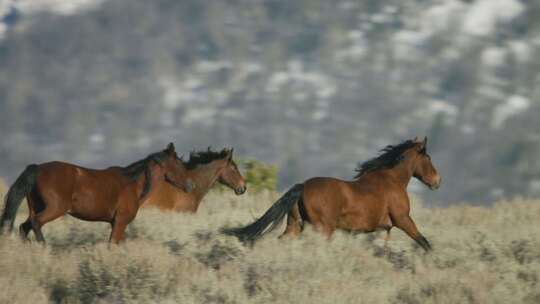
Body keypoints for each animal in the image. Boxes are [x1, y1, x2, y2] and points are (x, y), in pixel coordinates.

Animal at [0, 143, 194, 245]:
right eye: (179, 164)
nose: (190, 185)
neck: (133, 184)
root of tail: (37, 169)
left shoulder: (116, 223)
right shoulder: (120, 222)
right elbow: (112, 245)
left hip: (36, 206)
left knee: (24, 227)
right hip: (55, 209)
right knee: (35, 223)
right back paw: (44, 248)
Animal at [221, 137, 440, 251]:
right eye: (428, 157)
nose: (437, 181)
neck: (392, 179)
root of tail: (303, 186)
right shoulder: (403, 220)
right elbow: (424, 242)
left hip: (295, 225)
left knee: (282, 241)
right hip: (324, 229)